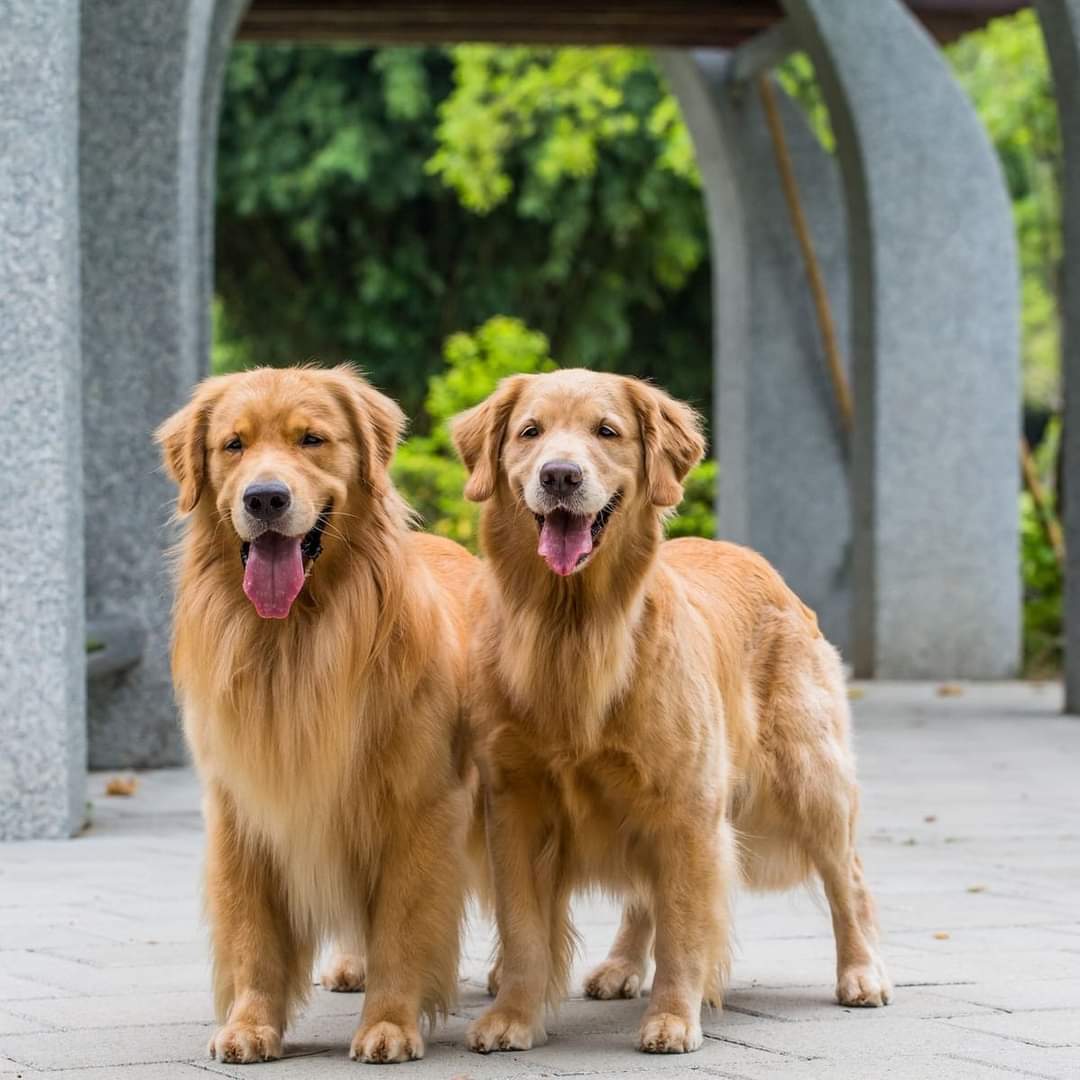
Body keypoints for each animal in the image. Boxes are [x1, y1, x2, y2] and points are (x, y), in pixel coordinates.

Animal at [158, 362, 477, 1062]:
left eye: (312, 440)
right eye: (234, 445)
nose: (265, 499)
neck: (295, 641)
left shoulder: (419, 806)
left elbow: (403, 924)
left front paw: (389, 1024)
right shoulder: (242, 808)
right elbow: (251, 933)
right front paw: (249, 1025)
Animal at [451, 369, 889, 1054]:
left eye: (607, 431)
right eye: (530, 432)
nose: (559, 476)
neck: (573, 628)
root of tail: (755, 558)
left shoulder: (687, 803)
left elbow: (685, 925)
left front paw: (674, 1018)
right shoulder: (516, 803)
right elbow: (522, 927)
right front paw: (512, 1018)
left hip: (808, 779)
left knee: (850, 878)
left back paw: (861, 972)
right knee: (644, 897)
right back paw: (621, 966)